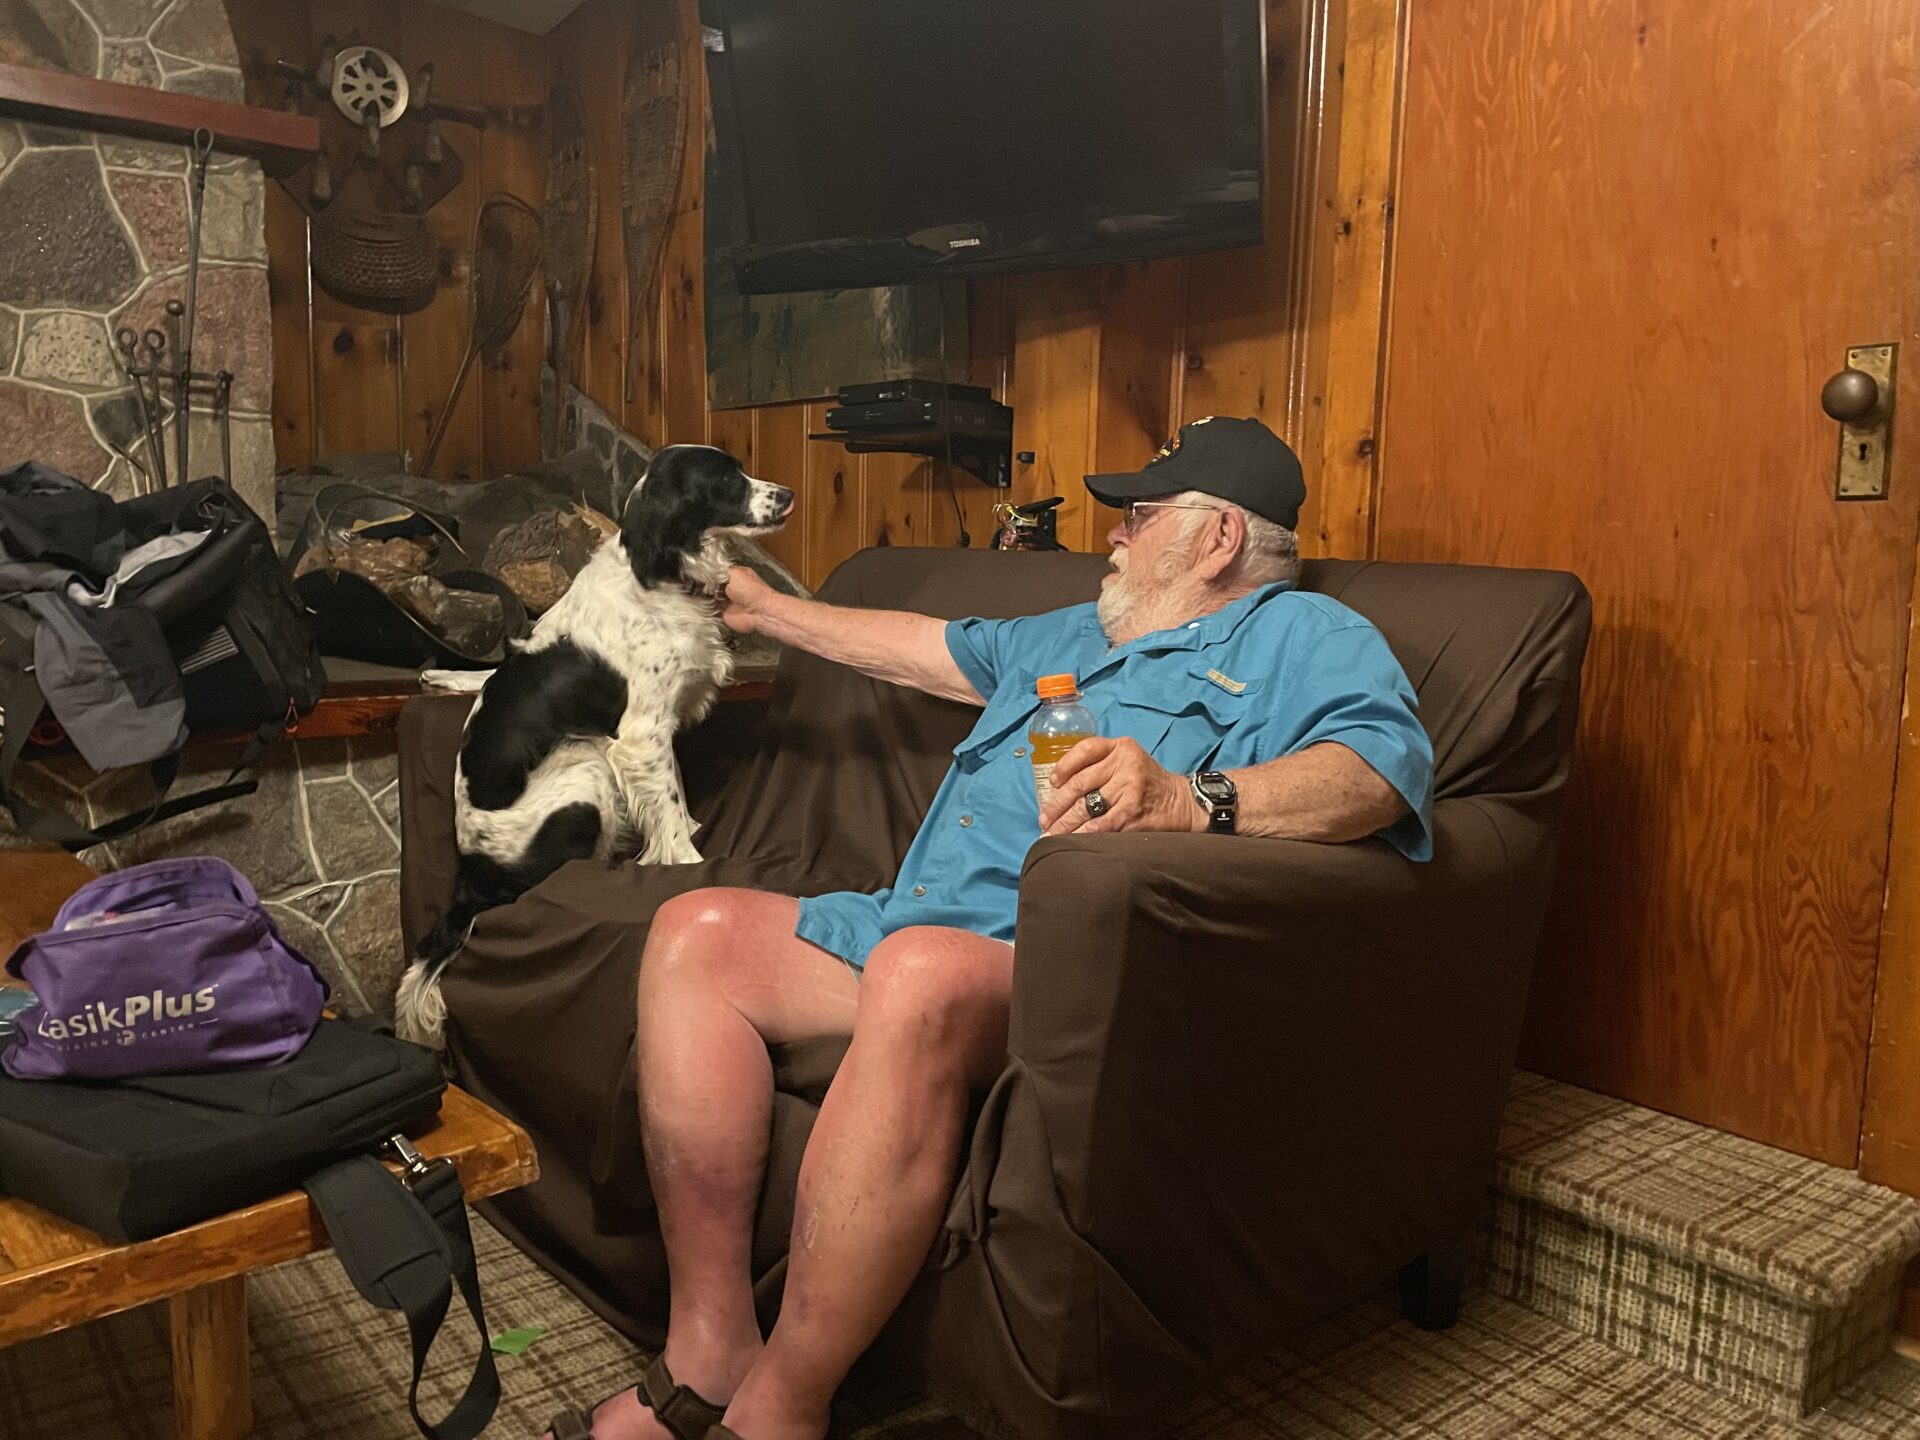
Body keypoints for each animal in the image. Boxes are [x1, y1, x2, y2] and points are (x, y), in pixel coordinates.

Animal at [394, 444, 794, 1045]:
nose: (788, 494)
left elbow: (673, 801)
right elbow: (671, 815)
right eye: (727, 481)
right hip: (584, 767)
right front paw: (687, 864)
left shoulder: (651, 734)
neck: (659, 577)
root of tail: (472, 877)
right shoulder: (640, 735)